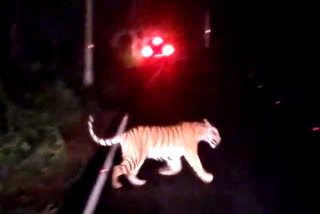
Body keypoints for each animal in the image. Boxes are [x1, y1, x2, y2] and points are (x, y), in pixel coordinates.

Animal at [89, 115, 221, 189]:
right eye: (215, 133)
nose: (220, 140)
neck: (200, 131)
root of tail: (124, 134)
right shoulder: (191, 153)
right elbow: (198, 165)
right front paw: (207, 177)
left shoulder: (173, 156)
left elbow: (177, 168)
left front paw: (164, 171)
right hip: (135, 158)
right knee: (117, 168)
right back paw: (116, 185)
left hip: (136, 159)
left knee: (129, 173)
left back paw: (139, 183)